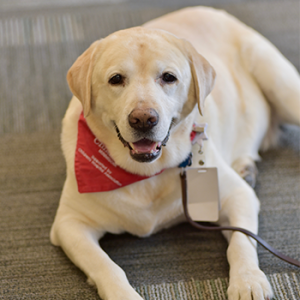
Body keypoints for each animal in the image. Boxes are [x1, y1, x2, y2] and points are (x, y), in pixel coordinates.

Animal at [50, 7, 298, 300]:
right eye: (116, 79)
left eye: (168, 77)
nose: (143, 119)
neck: (145, 174)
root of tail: (210, 10)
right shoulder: (69, 223)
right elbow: (105, 265)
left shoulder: (238, 196)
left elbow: (242, 240)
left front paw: (248, 281)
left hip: (280, 84)